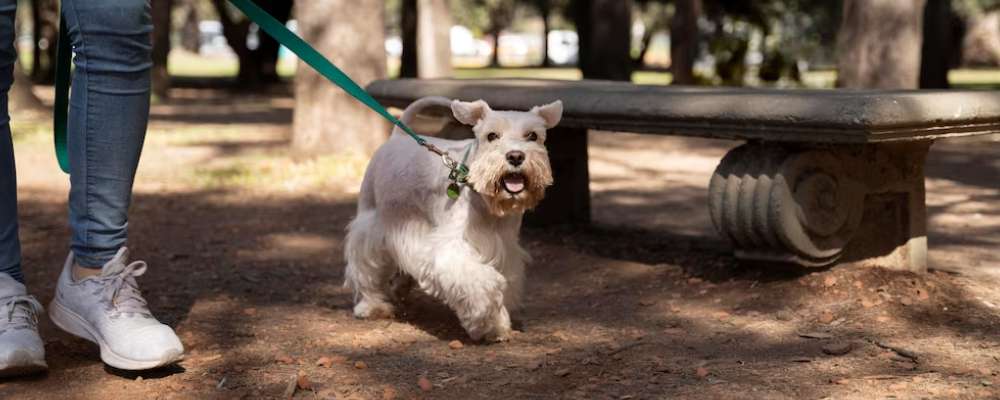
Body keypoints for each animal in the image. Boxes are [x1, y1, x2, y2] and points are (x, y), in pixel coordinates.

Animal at [344, 96, 564, 340]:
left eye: (532, 136)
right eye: (492, 136)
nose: (515, 156)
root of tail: (397, 137)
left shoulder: (506, 249)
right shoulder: (451, 249)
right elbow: (482, 285)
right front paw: (488, 323)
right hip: (372, 221)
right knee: (364, 265)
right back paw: (371, 305)